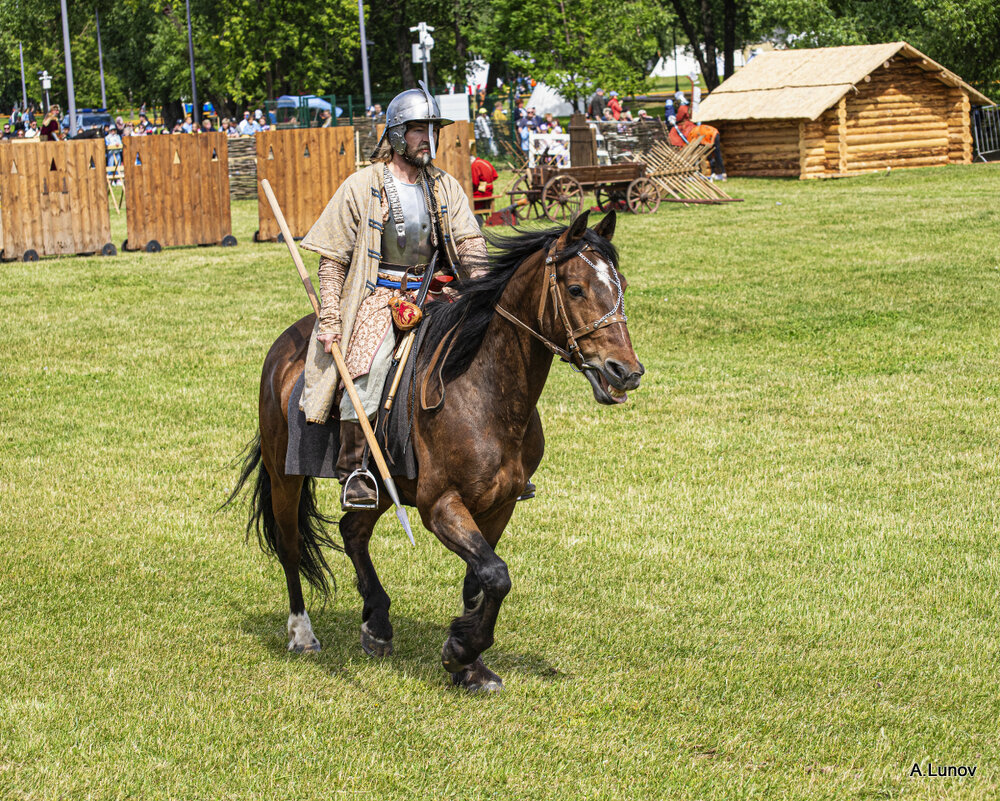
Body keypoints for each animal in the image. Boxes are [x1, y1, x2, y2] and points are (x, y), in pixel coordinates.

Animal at [229, 209, 640, 692]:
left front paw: (470, 665)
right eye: (575, 288)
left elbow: (480, 581)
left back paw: (377, 623)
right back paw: (302, 632)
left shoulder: (499, 506)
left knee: (353, 530)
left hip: (381, 485)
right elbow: (496, 575)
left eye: (621, 284)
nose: (625, 371)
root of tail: (284, 348)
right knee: (291, 545)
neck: (484, 389)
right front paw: (460, 650)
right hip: (284, 473)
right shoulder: (440, 505)